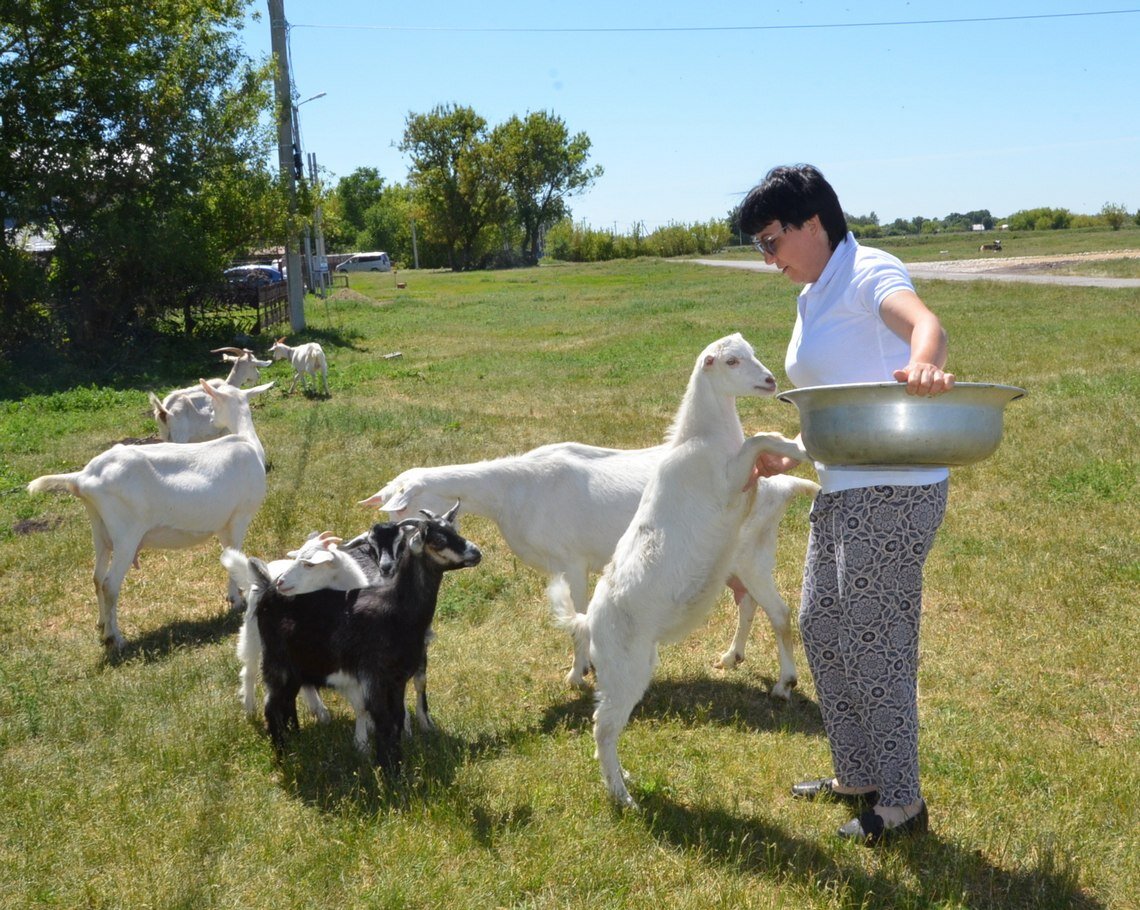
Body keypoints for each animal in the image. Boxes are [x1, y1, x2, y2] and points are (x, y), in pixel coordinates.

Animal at [27, 380, 273, 652]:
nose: (210, 419)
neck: (248, 442)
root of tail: (82, 478)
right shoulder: (240, 516)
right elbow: (236, 553)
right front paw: (238, 601)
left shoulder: (222, 523)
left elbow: (228, 555)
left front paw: (232, 597)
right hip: (126, 534)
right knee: (110, 584)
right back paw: (116, 638)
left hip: (99, 530)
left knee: (96, 577)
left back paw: (102, 626)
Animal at [220, 506, 478, 775]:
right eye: (437, 540)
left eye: (454, 532)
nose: (476, 553)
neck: (396, 607)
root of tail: (269, 587)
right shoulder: (373, 676)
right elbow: (383, 721)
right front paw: (388, 773)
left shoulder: (398, 679)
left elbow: (397, 719)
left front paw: (397, 762)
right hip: (274, 661)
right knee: (271, 706)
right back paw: (282, 757)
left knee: (287, 701)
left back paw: (296, 738)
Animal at [360, 440, 816, 697]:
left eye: (404, 509)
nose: (385, 558)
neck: (513, 489)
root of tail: (781, 485)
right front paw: (588, 668)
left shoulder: (572, 563)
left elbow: (577, 618)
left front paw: (577, 676)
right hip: (733, 561)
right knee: (747, 604)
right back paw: (730, 657)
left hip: (752, 554)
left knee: (779, 612)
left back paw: (785, 683)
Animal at [542, 330, 802, 807]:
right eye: (732, 361)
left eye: (752, 353)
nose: (771, 381)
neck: (701, 439)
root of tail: (589, 622)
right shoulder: (726, 483)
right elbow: (758, 439)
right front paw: (794, 445)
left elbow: (759, 442)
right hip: (623, 668)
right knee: (603, 727)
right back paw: (623, 797)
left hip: (634, 664)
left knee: (608, 728)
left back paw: (621, 779)